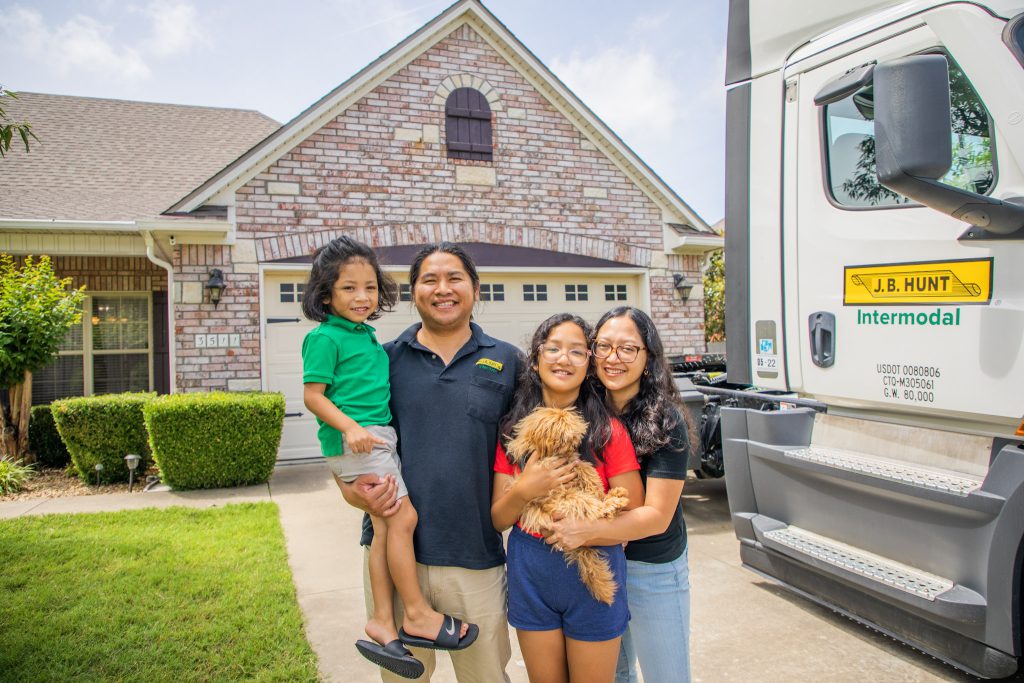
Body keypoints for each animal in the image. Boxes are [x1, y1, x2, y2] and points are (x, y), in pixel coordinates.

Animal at [505, 405, 630, 602]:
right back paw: (612, 504)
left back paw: (615, 495)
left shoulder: (573, 462)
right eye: (563, 438)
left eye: (573, 438)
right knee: (592, 507)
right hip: (568, 500)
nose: (572, 445)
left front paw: (596, 488)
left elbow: (586, 470)